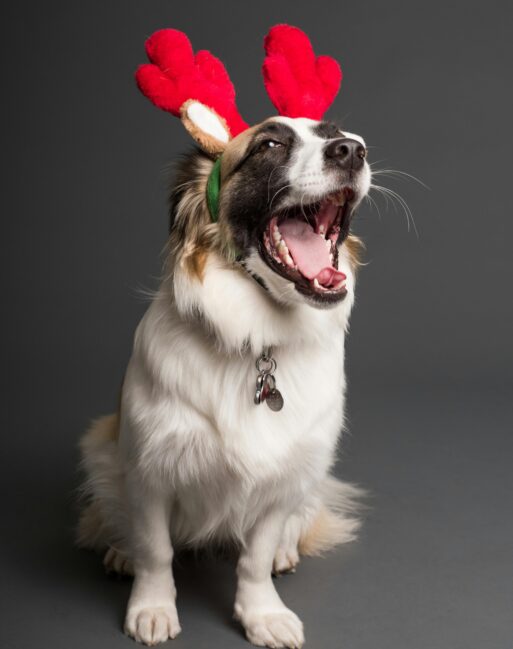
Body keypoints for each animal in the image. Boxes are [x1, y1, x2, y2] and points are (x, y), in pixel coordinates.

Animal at [76, 25, 370, 648]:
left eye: (337, 135)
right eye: (269, 145)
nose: (353, 150)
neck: (258, 340)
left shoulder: (284, 472)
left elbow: (254, 557)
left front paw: (262, 614)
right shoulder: (149, 468)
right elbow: (156, 549)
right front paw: (152, 606)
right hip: (100, 448)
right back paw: (118, 549)